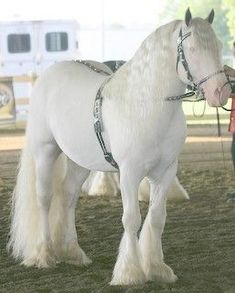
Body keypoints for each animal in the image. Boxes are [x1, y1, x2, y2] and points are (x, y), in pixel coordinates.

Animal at [8, 9, 230, 286]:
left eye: (219, 46)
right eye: (192, 49)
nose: (220, 92)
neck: (147, 105)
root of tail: (49, 74)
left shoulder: (166, 172)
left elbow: (157, 218)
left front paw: (157, 268)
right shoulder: (130, 173)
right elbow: (132, 219)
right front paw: (130, 273)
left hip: (80, 162)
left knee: (68, 195)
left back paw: (72, 253)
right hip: (45, 151)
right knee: (45, 198)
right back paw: (44, 254)